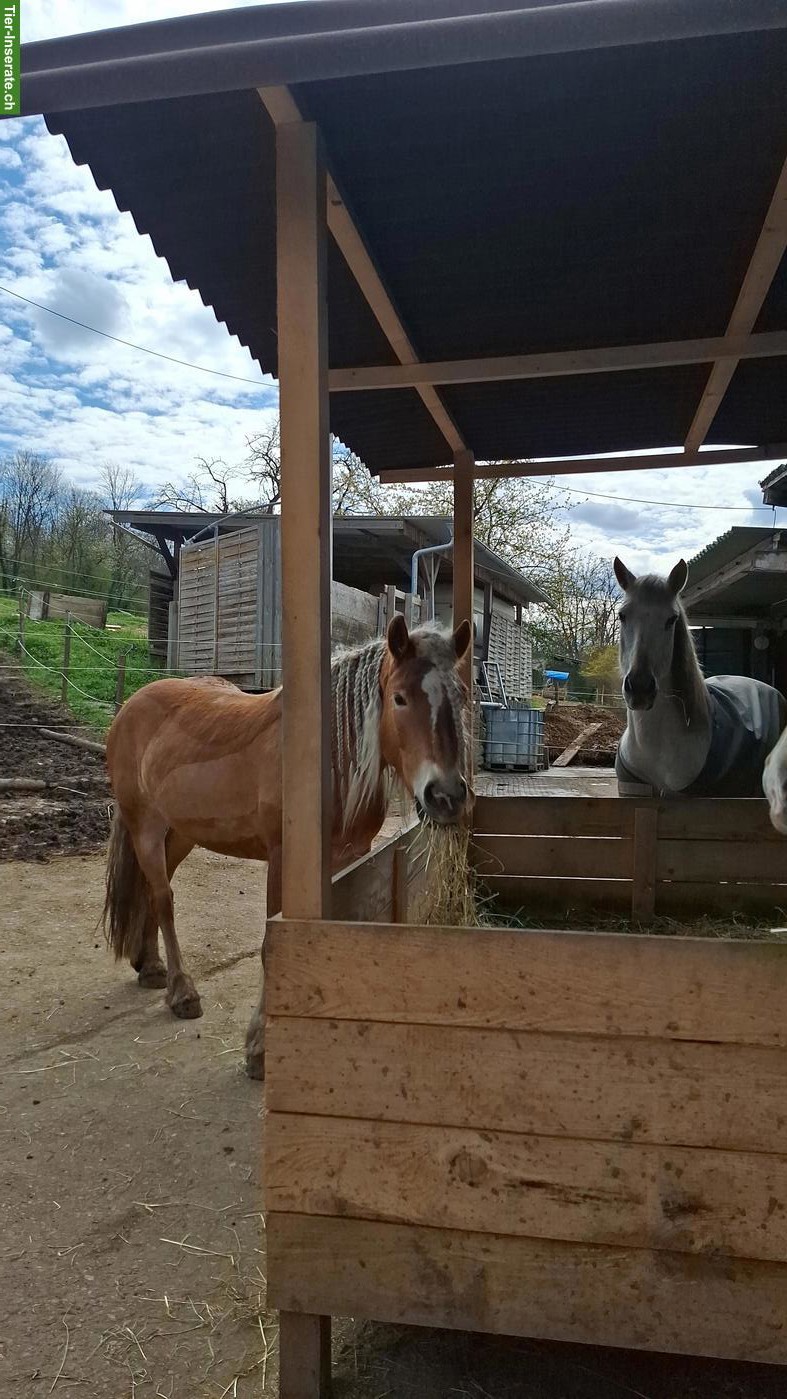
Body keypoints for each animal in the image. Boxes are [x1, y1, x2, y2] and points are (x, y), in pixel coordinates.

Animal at [102, 615, 472, 1077]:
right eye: (400, 698)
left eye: (460, 696)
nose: (446, 797)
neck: (326, 765)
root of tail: (130, 706)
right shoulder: (283, 861)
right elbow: (268, 947)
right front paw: (259, 1048)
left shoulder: (348, 858)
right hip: (146, 826)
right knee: (163, 898)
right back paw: (182, 992)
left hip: (182, 832)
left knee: (155, 891)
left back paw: (150, 967)